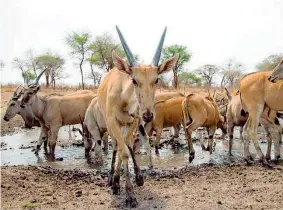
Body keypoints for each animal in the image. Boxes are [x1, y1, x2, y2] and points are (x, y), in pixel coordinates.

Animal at [97, 25, 178, 207]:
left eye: (156, 80)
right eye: (134, 80)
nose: (148, 115)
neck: (124, 98)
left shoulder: (133, 121)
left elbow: (126, 148)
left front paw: (130, 183)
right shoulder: (113, 122)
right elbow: (123, 151)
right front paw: (128, 195)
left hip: (128, 124)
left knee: (126, 144)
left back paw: (134, 177)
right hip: (111, 124)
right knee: (116, 146)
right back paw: (111, 179)